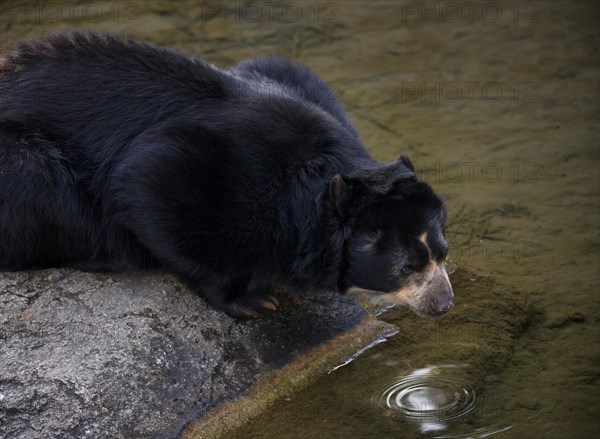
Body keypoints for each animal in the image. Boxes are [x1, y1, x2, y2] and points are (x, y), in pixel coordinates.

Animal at [0, 31, 452, 320]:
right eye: (406, 266)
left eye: (443, 254)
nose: (444, 303)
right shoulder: (198, 168)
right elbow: (144, 181)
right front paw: (254, 301)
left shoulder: (288, 74)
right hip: (23, 167)